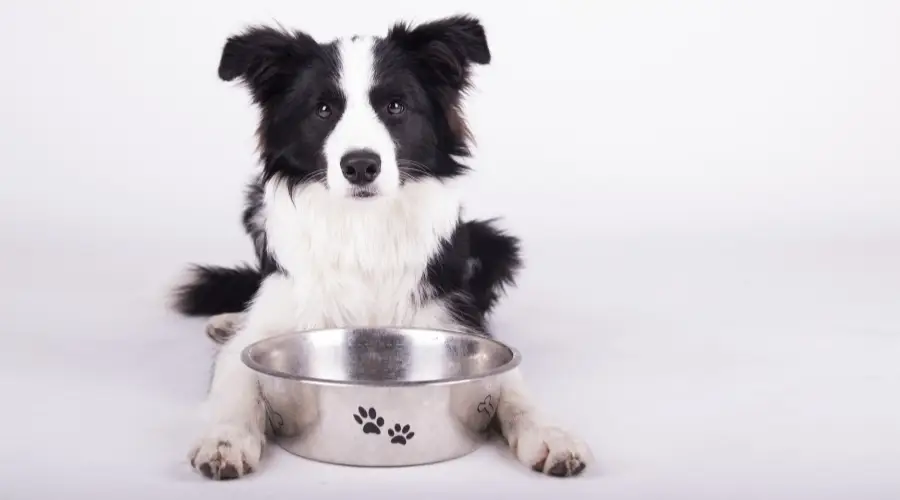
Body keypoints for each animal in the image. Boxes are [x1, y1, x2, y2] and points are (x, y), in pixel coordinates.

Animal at [171, 15, 592, 480]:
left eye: (395, 106)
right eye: (323, 109)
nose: (360, 166)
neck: (364, 227)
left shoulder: (454, 320)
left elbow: (513, 385)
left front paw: (550, 434)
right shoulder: (265, 329)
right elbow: (236, 376)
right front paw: (225, 439)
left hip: (492, 244)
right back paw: (227, 320)